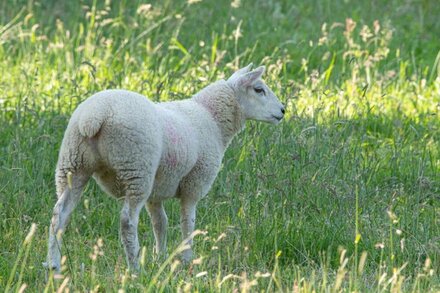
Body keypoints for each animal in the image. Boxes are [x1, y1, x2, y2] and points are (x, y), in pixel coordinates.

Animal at [44, 63, 286, 272]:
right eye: (259, 89)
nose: (283, 110)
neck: (212, 118)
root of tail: (94, 116)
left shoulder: (157, 189)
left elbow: (161, 223)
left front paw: (160, 258)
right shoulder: (194, 183)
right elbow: (187, 222)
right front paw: (187, 259)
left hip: (73, 164)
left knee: (59, 213)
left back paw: (53, 265)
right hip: (137, 168)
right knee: (127, 221)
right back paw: (135, 268)